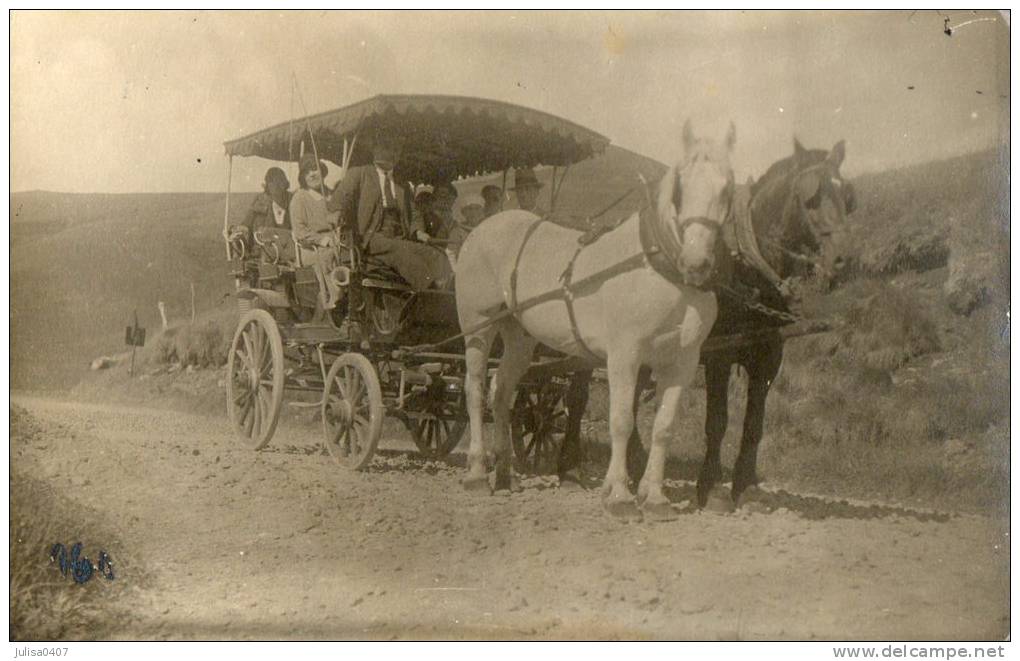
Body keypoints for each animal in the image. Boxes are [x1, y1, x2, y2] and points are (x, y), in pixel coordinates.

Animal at [454, 119, 734, 522]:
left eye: (728, 186)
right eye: (681, 185)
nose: (696, 263)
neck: (658, 267)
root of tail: (484, 228)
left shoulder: (683, 360)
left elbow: (663, 428)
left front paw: (655, 497)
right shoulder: (624, 354)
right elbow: (622, 421)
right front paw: (618, 495)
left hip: (520, 336)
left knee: (502, 391)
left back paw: (505, 474)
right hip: (478, 327)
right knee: (475, 390)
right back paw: (477, 472)